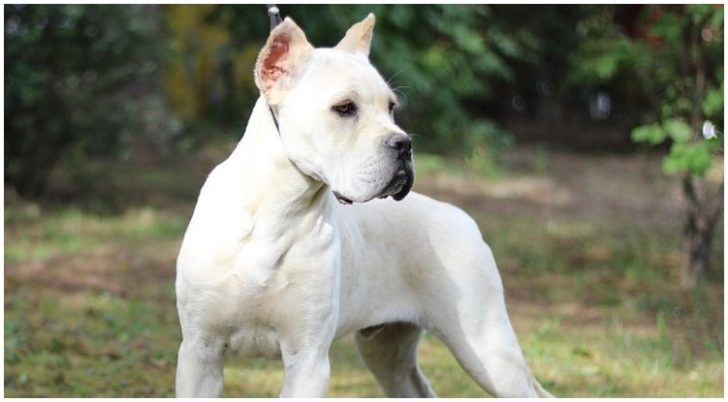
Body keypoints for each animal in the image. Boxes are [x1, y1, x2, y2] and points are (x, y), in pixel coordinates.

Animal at [176, 14, 552, 398]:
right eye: (344, 108)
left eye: (391, 107)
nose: (404, 144)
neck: (276, 210)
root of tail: (458, 215)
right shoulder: (199, 353)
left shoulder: (308, 360)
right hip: (388, 352)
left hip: (487, 349)